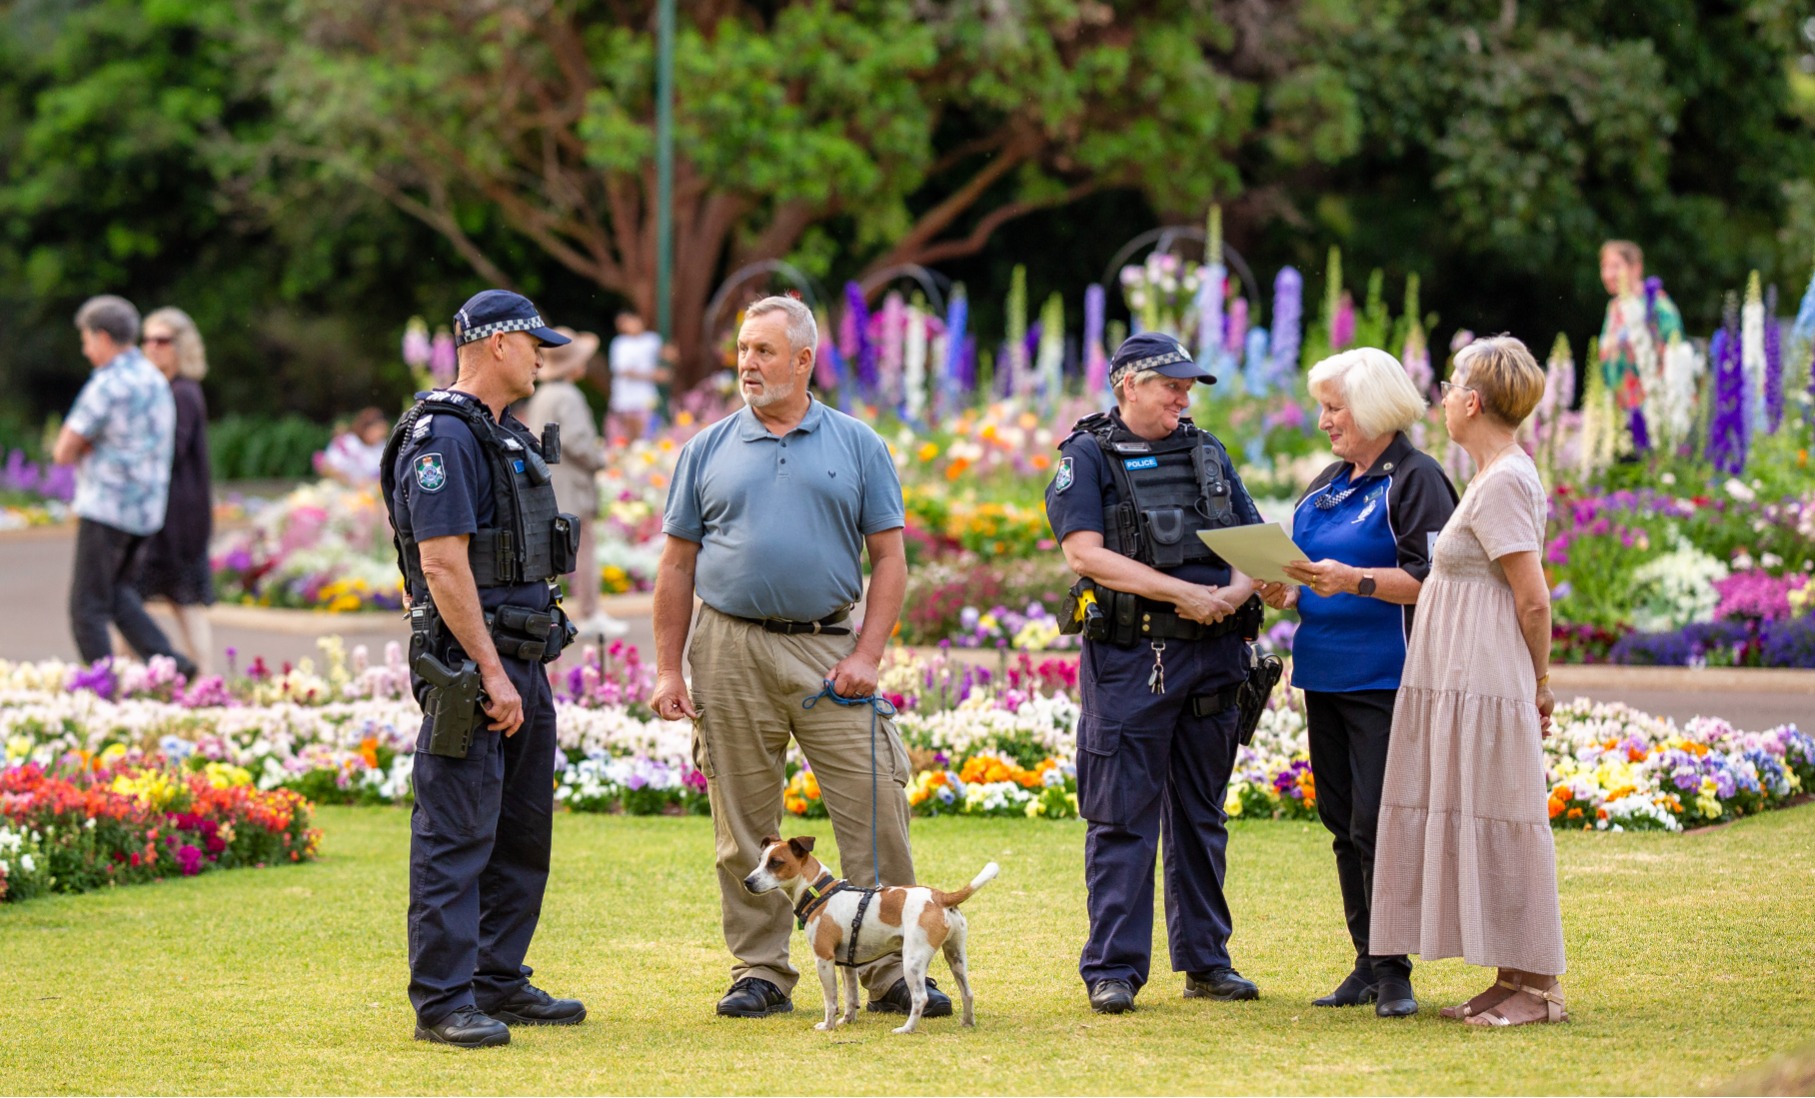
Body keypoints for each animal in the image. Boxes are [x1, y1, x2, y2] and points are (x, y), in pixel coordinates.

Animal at [747, 834, 1009, 1030]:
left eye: (776, 862)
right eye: (759, 860)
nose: (747, 881)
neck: (820, 892)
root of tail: (940, 897)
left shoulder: (824, 959)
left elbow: (831, 999)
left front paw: (828, 1025)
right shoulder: (847, 964)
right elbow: (850, 997)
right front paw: (847, 1020)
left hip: (912, 960)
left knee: (920, 998)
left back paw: (907, 1028)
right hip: (956, 957)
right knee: (968, 992)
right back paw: (967, 1022)